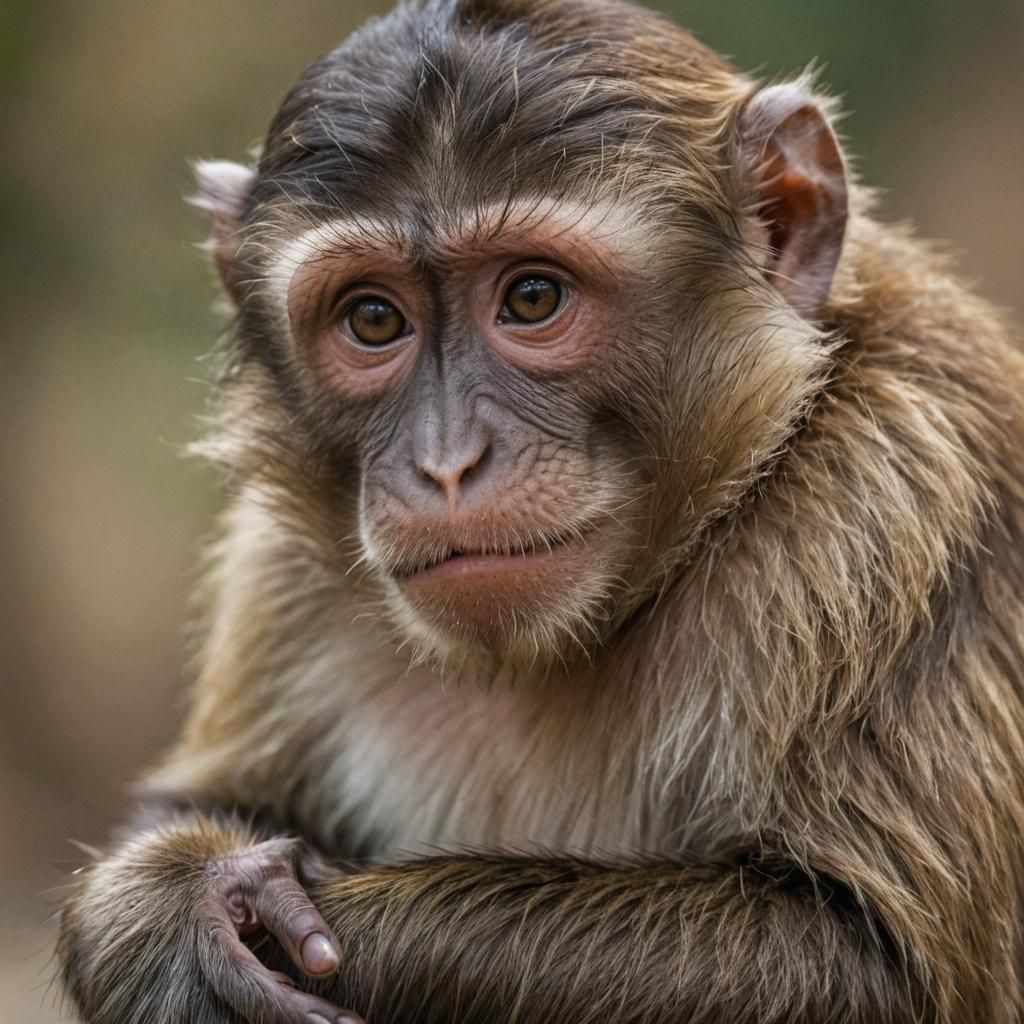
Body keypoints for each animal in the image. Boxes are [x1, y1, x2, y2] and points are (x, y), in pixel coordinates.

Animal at [56, 0, 1024, 1021]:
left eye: (531, 297)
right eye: (373, 320)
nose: (446, 464)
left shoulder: (898, 488)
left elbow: (858, 957)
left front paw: (191, 916)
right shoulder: (278, 568)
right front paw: (158, 903)